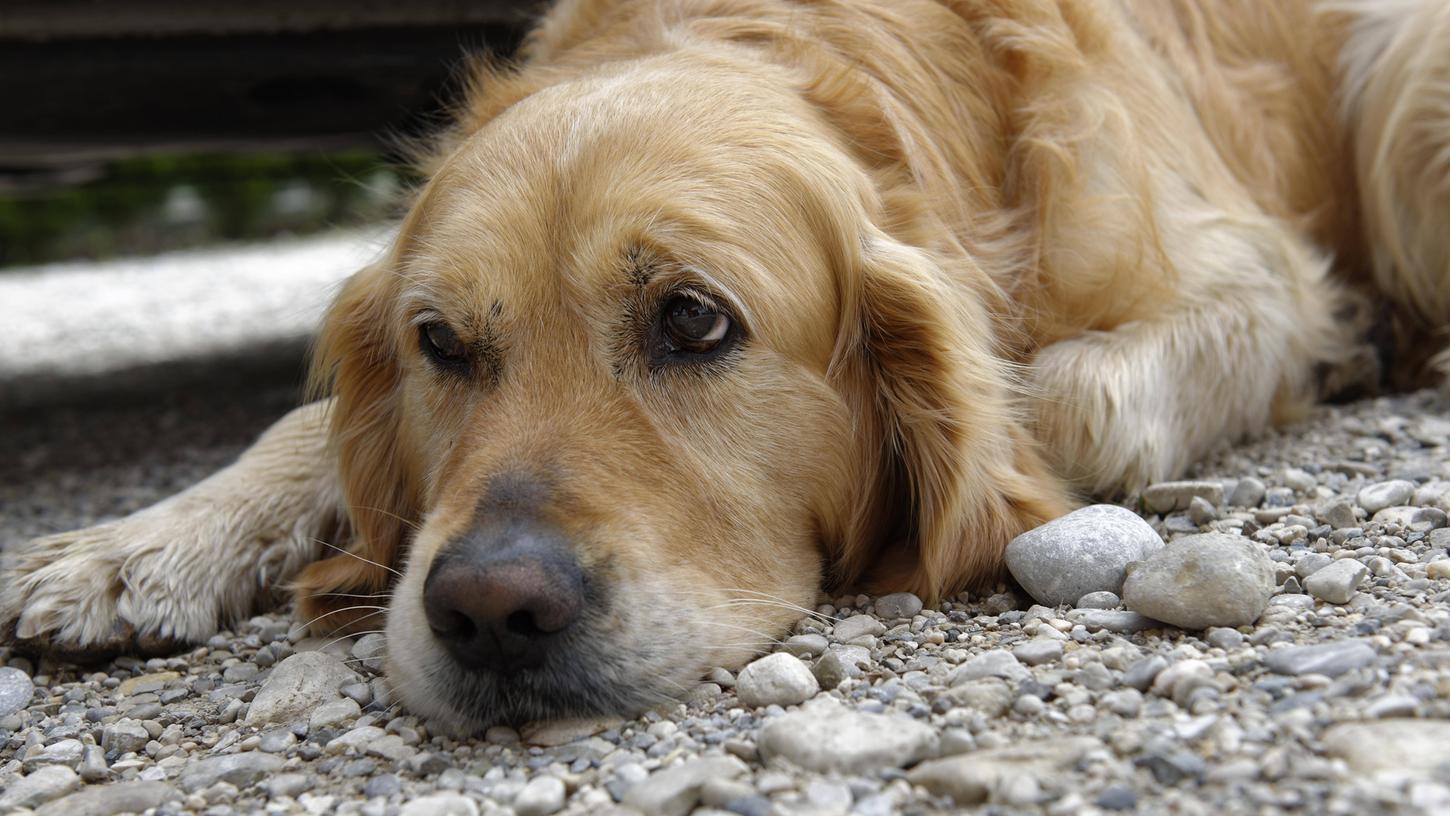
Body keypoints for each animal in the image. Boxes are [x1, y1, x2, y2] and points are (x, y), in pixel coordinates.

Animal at [2, 0, 1450, 727]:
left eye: (693, 322)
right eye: (439, 344)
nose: (486, 612)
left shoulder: (1253, 280)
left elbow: (1066, 394)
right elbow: (302, 428)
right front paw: (140, 543)